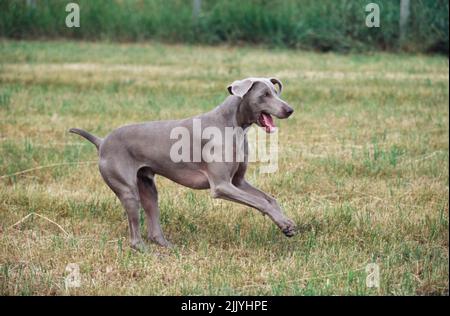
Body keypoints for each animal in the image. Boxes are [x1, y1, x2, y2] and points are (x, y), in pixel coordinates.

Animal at [69, 76, 296, 249]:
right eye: (264, 95)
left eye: (276, 92)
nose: (290, 109)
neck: (233, 124)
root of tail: (102, 141)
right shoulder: (221, 186)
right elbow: (260, 202)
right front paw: (283, 222)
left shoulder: (237, 182)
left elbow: (269, 199)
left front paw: (286, 224)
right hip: (127, 189)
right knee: (134, 234)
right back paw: (146, 250)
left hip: (147, 186)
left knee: (153, 222)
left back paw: (168, 246)